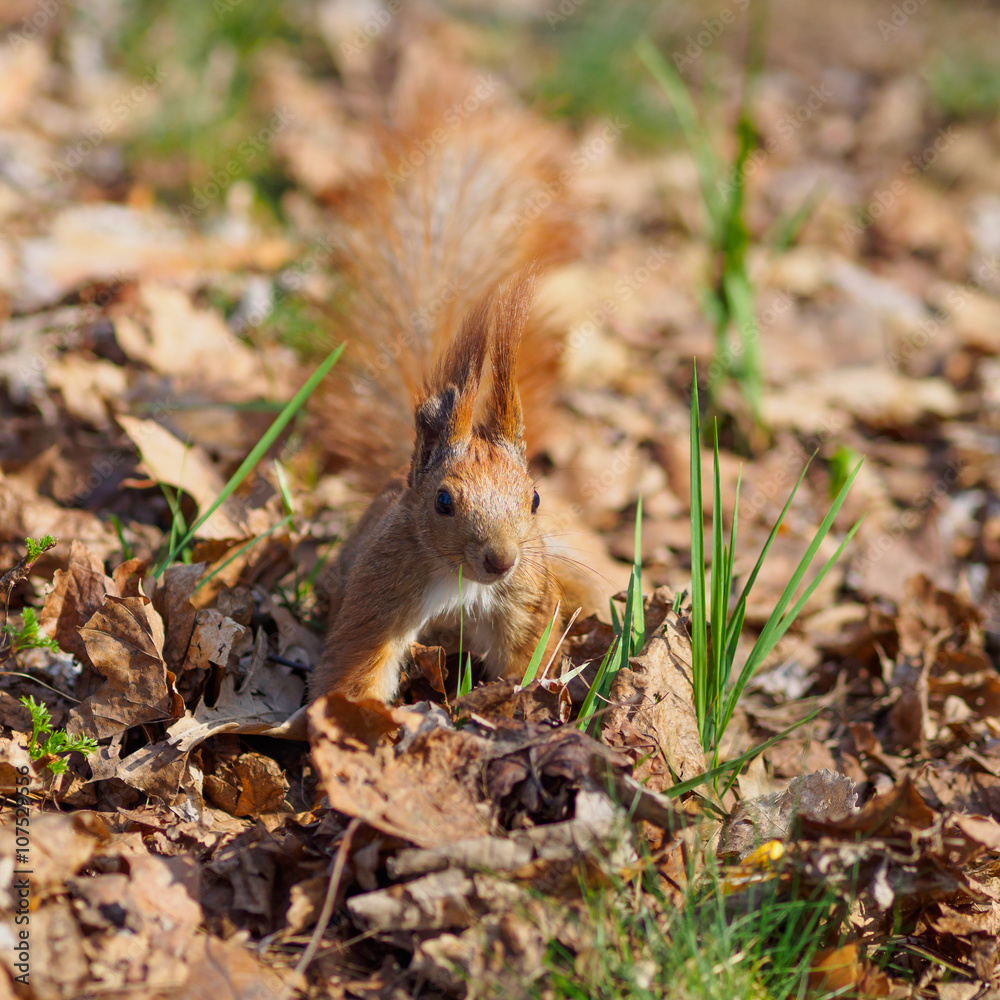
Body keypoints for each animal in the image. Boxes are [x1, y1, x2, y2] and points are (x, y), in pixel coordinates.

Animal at [310, 51, 599, 703]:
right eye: (443, 501)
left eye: (535, 497)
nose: (501, 560)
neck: (461, 583)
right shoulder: (380, 591)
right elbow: (357, 668)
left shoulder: (527, 597)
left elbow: (527, 657)